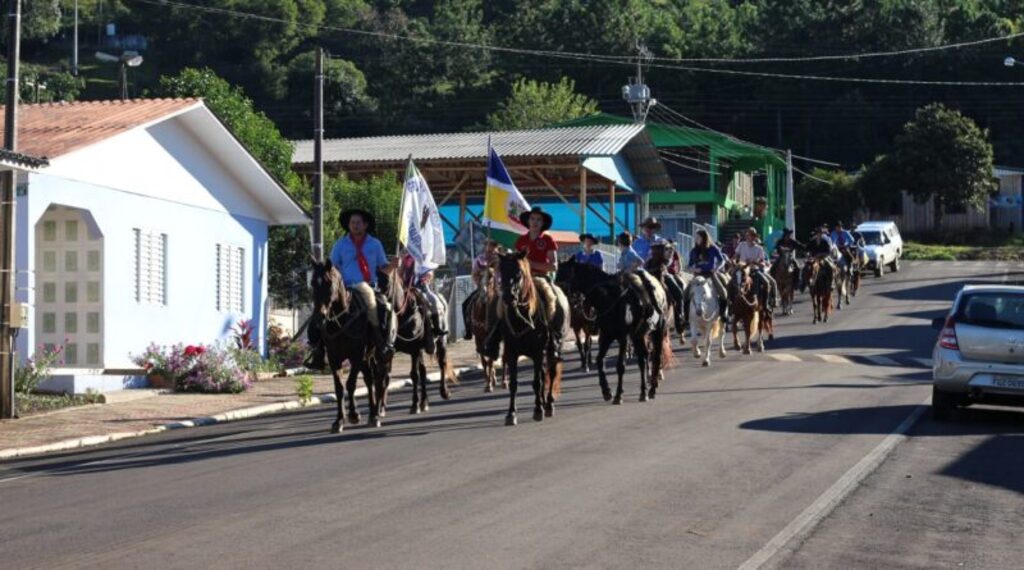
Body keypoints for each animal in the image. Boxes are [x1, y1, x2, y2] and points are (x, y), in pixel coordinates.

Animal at [307, 258, 387, 431]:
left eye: (329, 283)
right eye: (312, 283)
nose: (319, 316)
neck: (341, 320)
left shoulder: (356, 356)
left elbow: (351, 384)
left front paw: (354, 414)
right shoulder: (333, 358)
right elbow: (339, 388)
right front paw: (338, 421)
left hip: (371, 355)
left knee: (375, 380)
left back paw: (375, 414)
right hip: (365, 358)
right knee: (369, 379)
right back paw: (371, 413)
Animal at [493, 250, 569, 423]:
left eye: (519, 273)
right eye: (502, 271)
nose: (509, 297)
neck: (521, 319)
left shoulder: (538, 352)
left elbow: (537, 382)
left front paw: (538, 410)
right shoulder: (512, 353)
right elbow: (514, 383)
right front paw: (511, 414)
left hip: (553, 349)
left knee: (551, 373)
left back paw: (548, 405)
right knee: (543, 374)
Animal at [552, 257, 671, 405]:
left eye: (563, 274)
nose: (557, 298)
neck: (609, 297)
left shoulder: (623, 337)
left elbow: (620, 365)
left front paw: (618, 395)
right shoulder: (606, 336)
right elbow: (599, 360)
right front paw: (606, 391)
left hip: (658, 331)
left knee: (656, 357)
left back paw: (652, 389)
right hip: (638, 335)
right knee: (643, 359)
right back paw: (644, 392)